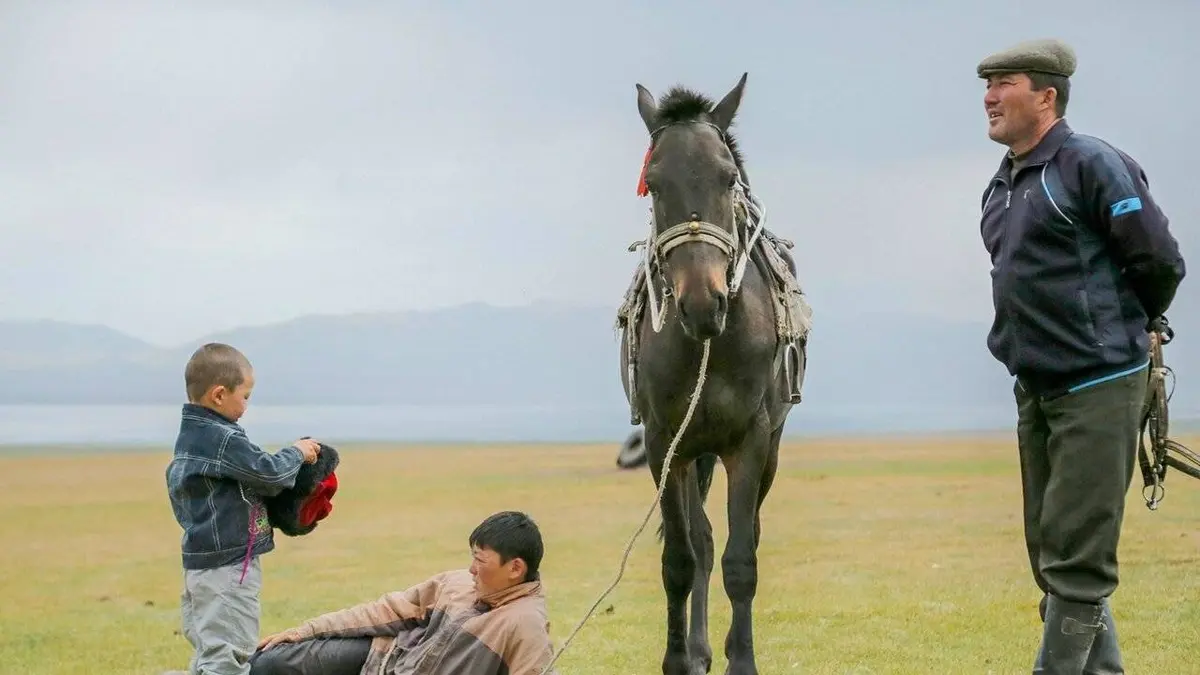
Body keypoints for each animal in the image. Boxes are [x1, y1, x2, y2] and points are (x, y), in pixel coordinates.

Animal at [615, 72, 811, 675]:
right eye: (655, 185)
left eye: (728, 178)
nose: (703, 303)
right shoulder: (664, 444)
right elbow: (680, 559)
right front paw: (679, 658)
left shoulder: (749, 441)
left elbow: (741, 559)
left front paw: (741, 660)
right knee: (699, 542)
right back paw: (699, 649)